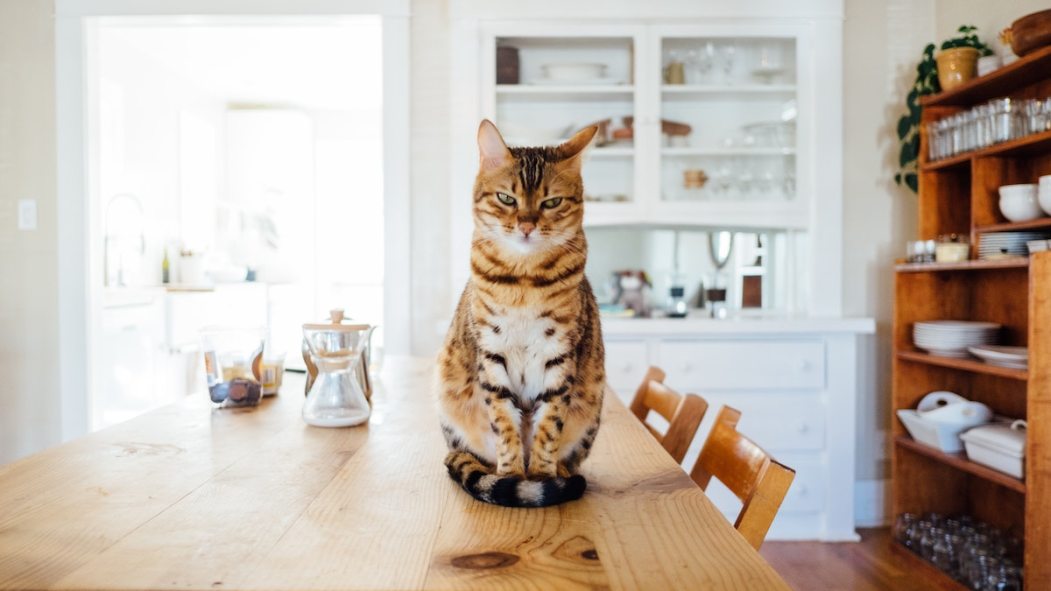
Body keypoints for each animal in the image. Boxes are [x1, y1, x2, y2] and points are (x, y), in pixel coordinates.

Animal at [437, 119, 609, 506]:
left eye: (552, 202)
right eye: (506, 198)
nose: (527, 225)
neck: (524, 281)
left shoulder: (560, 355)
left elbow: (549, 426)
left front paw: (542, 476)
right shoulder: (491, 353)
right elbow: (503, 423)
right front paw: (512, 475)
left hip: (592, 407)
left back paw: (560, 474)